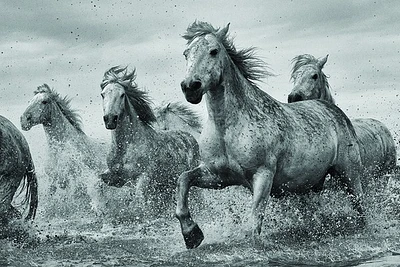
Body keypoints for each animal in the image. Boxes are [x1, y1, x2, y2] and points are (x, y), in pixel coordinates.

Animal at [100, 66, 200, 215]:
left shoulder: (143, 177)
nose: (110, 119)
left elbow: (138, 202)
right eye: (103, 94)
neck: (125, 147)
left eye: (122, 95)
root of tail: (189, 137)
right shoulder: (115, 177)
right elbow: (97, 183)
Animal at [177, 22, 364, 250]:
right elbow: (184, 180)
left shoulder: (263, 175)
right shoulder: (217, 176)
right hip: (310, 186)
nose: (190, 87)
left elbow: (254, 223)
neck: (228, 128)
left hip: (349, 175)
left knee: (361, 207)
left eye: (213, 51)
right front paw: (191, 233)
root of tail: (331, 108)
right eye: (186, 54)